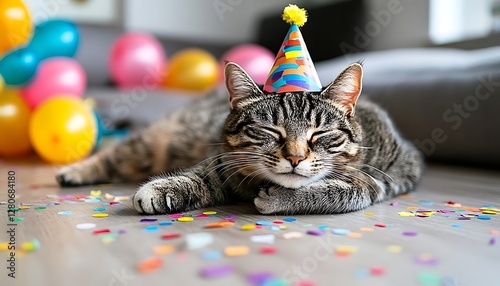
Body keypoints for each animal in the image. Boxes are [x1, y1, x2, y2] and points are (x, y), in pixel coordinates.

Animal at [56, 62, 424, 214]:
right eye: (270, 131)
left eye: (320, 133)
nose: (294, 157)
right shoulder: (224, 162)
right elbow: (199, 176)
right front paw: (162, 189)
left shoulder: (391, 175)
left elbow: (348, 190)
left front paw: (280, 198)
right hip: (150, 144)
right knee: (112, 153)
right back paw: (74, 171)